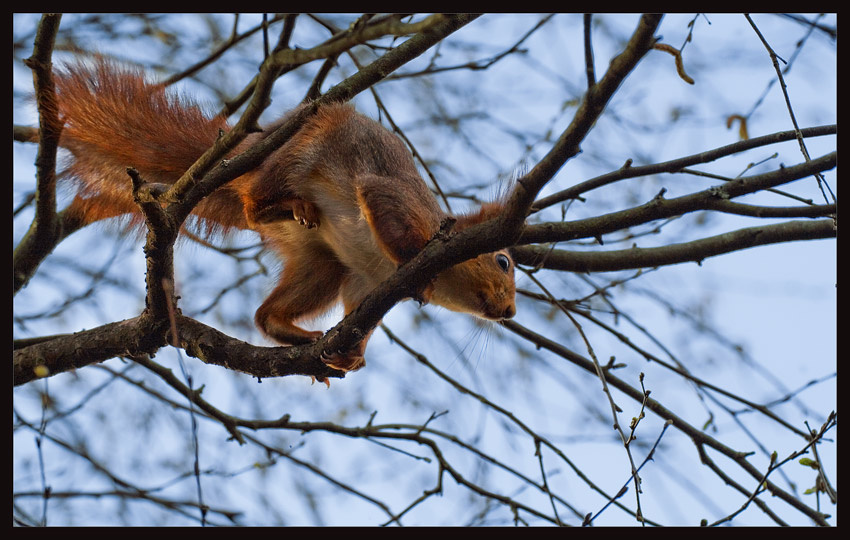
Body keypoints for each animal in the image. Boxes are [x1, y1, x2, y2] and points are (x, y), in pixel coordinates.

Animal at [47, 60, 517, 372]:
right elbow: (387, 212)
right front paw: (417, 266)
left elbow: (357, 314)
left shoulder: (367, 281)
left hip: (319, 264)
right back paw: (289, 205)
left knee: (266, 313)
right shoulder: (394, 197)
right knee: (254, 204)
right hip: (296, 158)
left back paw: (295, 331)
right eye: (503, 261)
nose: (511, 311)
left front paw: (353, 352)